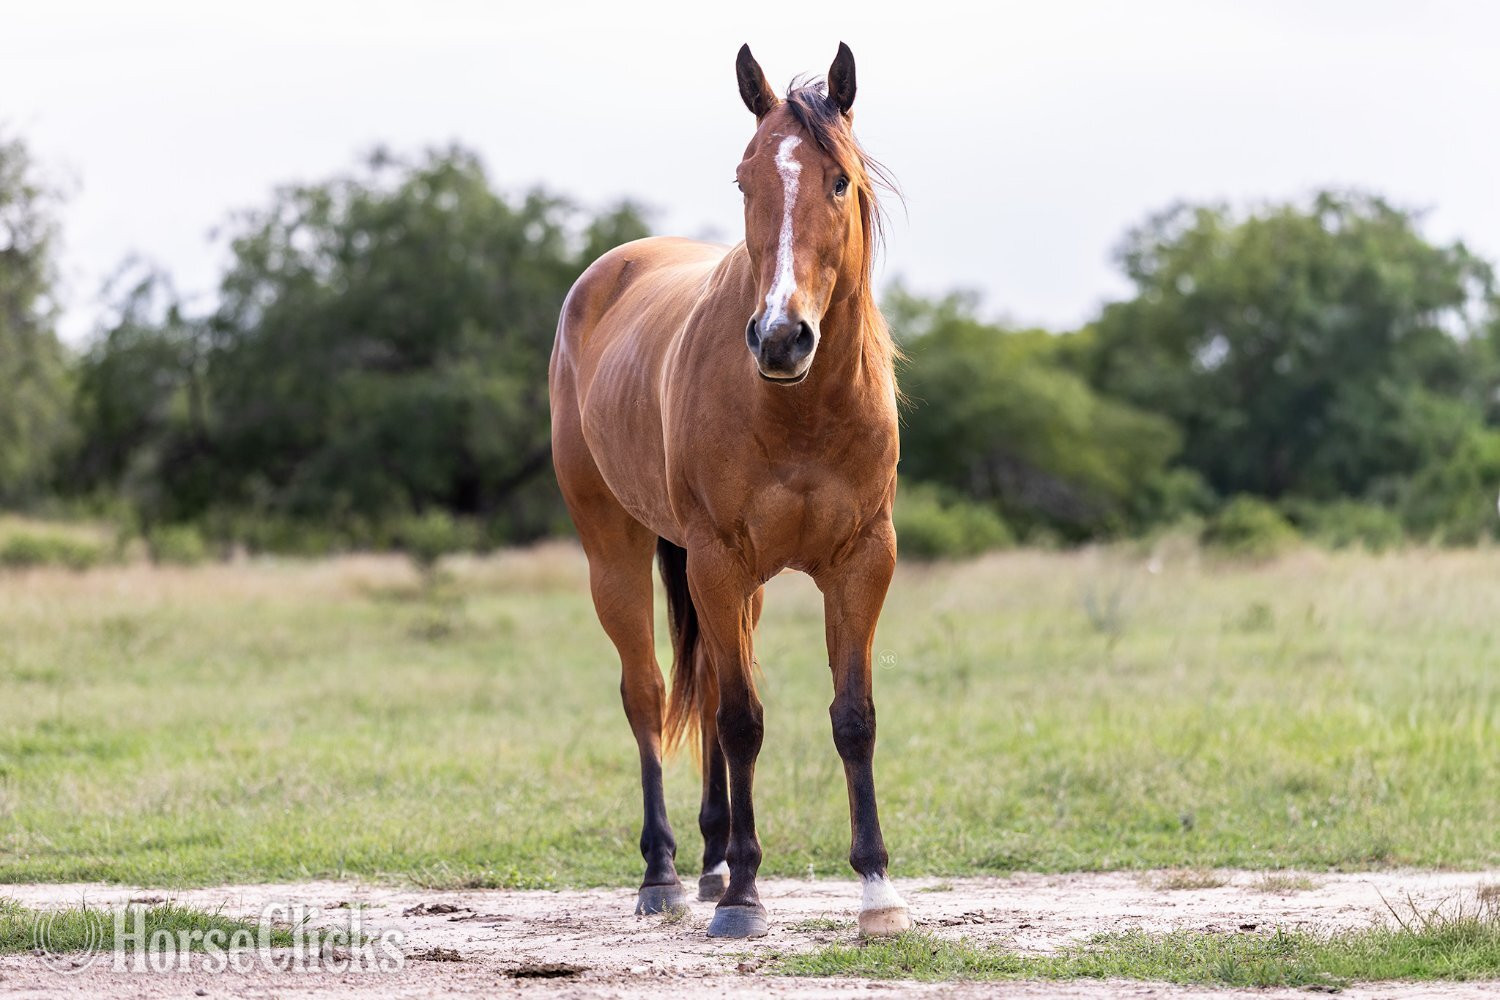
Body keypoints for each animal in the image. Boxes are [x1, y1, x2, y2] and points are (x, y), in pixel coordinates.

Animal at [548, 42, 908, 940]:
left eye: (839, 180)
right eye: (745, 180)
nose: (780, 337)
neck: (800, 406)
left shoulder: (863, 562)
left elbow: (853, 718)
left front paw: (877, 891)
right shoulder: (718, 559)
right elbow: (743, 720)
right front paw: (747, 893)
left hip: (738, 587)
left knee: (708, 686)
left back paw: (711, 860)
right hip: (619, 552)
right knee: (648, 695)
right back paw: (669, 872)